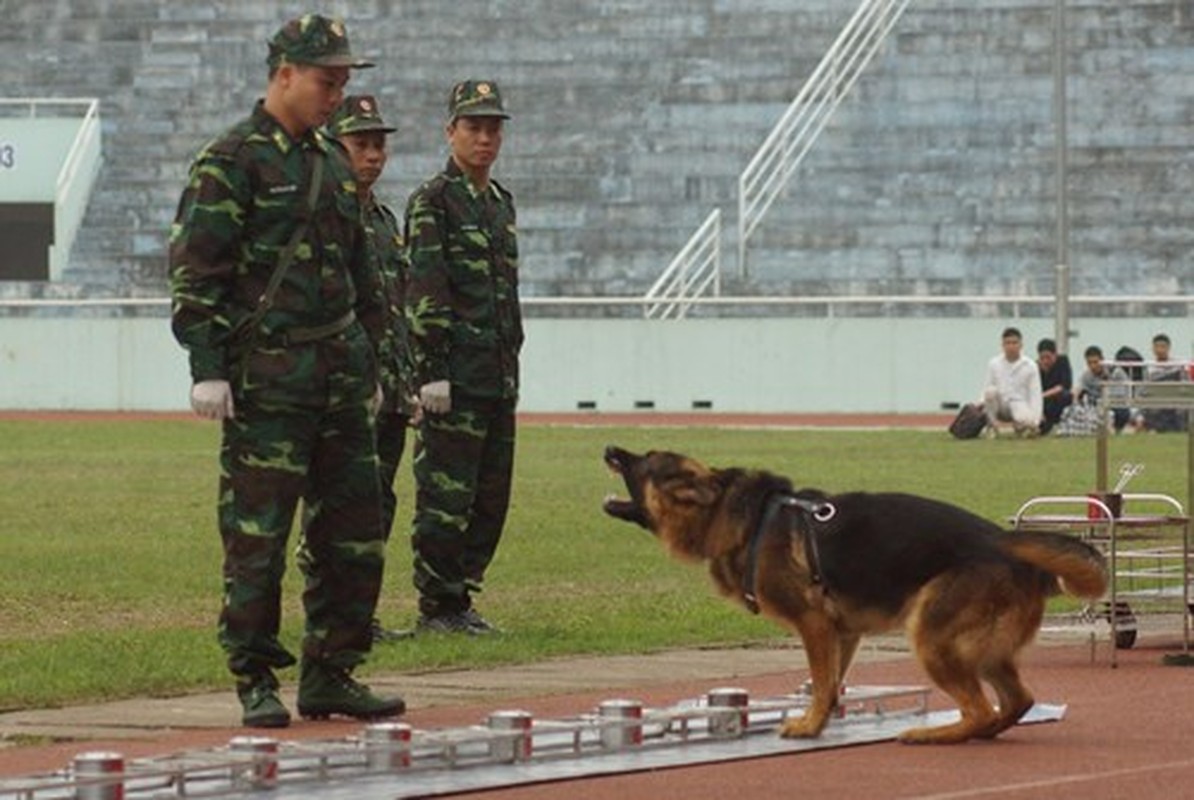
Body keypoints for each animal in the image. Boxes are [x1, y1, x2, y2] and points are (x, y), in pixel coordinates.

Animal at [606, 444, 1108, 745]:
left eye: (644, 460)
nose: (610, 448)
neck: (740, 518)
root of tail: (1010, 548)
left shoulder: (813, 625)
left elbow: (821, 682)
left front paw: (808, 726)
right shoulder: (841, 633)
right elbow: (830, 685)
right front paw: (821, 722)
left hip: (930, 635)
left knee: (981, 708)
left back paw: (935, 734)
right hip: (981, 650)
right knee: (1016, 700)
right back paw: (981, 731)